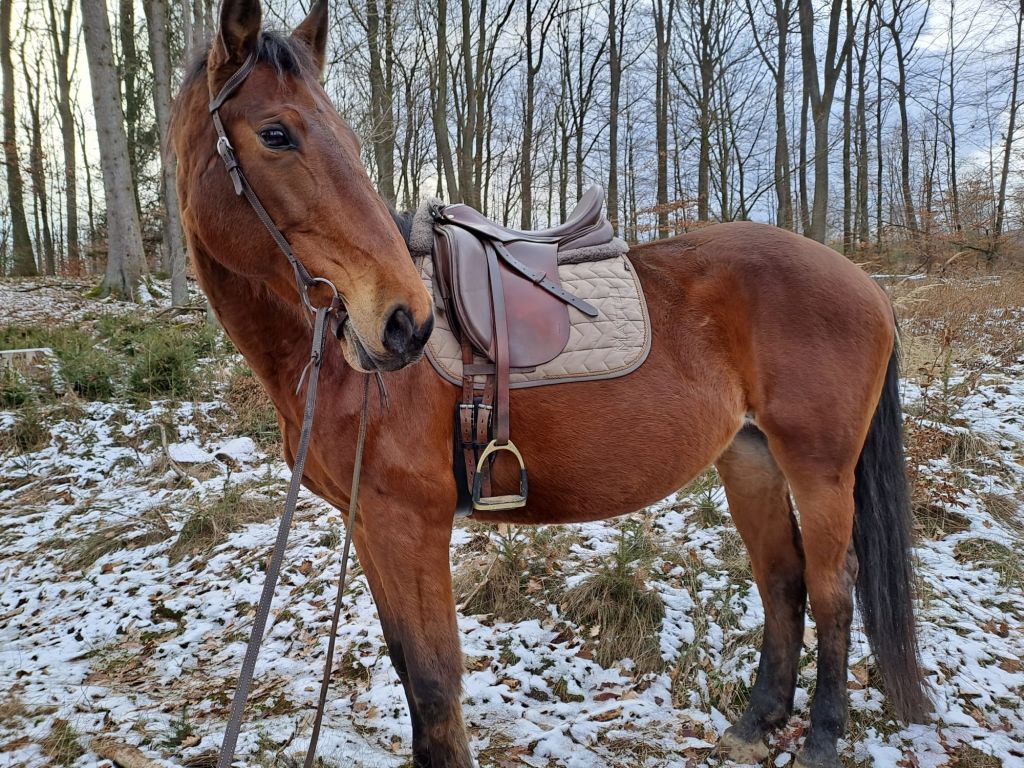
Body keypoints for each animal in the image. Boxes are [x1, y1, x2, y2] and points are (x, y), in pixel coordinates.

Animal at [169, 2, 930, 766]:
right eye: (276, 134)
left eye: (348, 140)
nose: (405, 322)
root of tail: (866, 283)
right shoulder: (369, 525)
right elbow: (409, 673)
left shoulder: (408, 525)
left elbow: (434, 684)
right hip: (750, 457)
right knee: (782, 577)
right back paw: (758, 722)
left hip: (819, 469)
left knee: (833, 589)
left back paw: (823, 738)